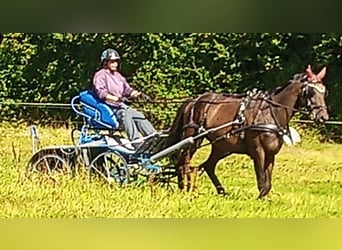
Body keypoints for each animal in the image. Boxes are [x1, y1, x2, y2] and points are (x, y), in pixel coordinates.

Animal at [164, 65, 330, 198]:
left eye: (324, 92)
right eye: (310, 92)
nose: (323, 117)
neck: (270, 113)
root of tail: (194, 100)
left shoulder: (271, 154)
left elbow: (268, 181)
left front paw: (265, 199)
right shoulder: (258, 151)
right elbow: (261, 179)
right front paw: (260, 199)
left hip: (223, 146)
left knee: (208, 165)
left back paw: (221, 191)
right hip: (192, 139)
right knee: (183, 163)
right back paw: (184, 188)